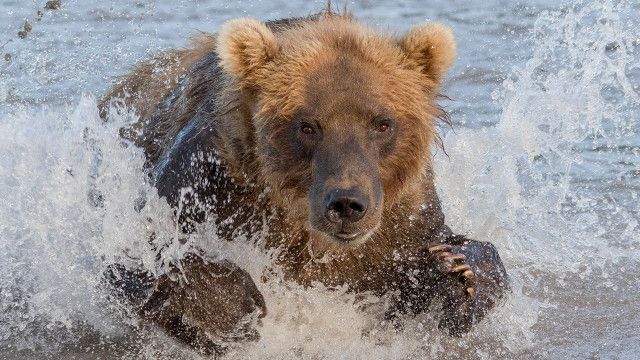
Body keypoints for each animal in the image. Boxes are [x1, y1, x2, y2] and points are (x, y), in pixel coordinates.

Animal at [100, 9, 510, 356]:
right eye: (307, 125)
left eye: (382, 123)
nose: (347, 203)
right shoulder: (205, 181)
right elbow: (137, 253)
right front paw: (231, 308)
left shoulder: (400, 222)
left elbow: (443, 253)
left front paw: (458, 269)